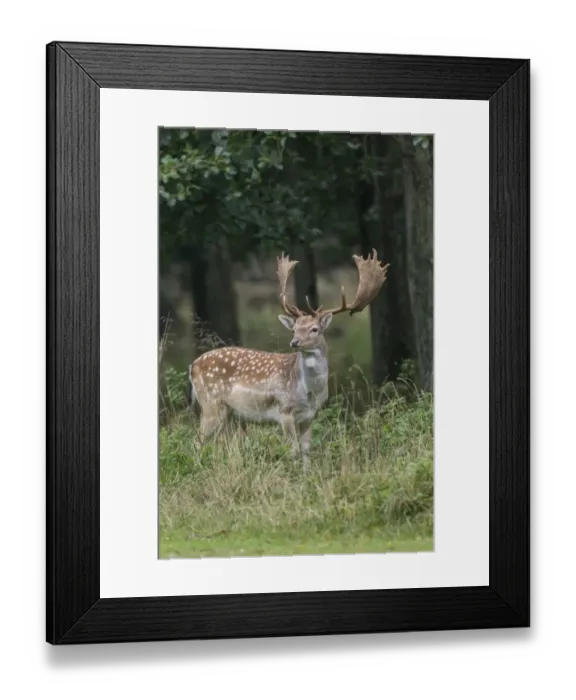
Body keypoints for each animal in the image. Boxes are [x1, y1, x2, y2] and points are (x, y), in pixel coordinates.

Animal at [187, 249, 390, 470]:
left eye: (314, 329)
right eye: (294, 329)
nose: (294, 342)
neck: (308, 393)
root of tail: (193, 365)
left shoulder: (310, 415)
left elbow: (306, 450)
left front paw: (307, 474)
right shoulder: (284, 411)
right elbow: (293, 451)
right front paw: (294, 474)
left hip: (228, 413)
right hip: (211, 404)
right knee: (196, 441)